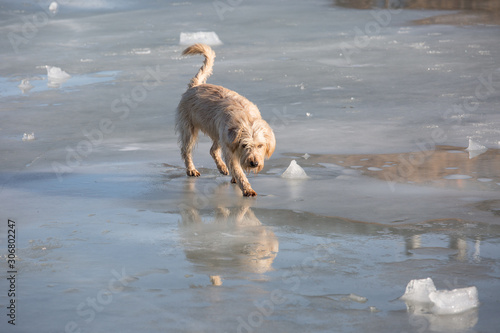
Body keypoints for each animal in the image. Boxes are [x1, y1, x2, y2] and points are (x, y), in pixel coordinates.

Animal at [177, 42, 278, 196]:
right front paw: (246, 188)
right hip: (189, 130)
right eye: (244, 145)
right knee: (186, 150)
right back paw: (191, 169)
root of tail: (195, 86)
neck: (246, 119)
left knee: (213, 150)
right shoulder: (230, 149)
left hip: (218, 134)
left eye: (260, 145)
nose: (254, 163)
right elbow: (237, 169)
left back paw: (222, 167)